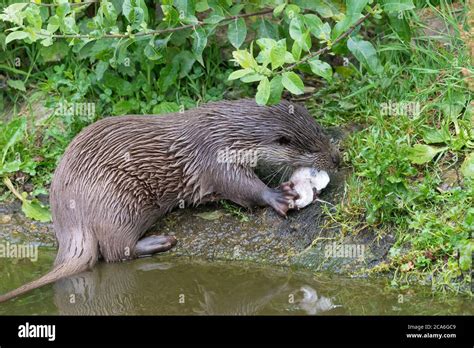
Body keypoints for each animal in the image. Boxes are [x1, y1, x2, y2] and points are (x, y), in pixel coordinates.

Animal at [0, 98, 340, 302]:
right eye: (311, 149)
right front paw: (277, 195)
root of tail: (70, 219)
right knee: (115, 251)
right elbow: (238, 186)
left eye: (322, 132)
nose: (337, 159)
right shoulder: (216, 156)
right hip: (116, 201)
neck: (231, 134)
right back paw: (159, 242)